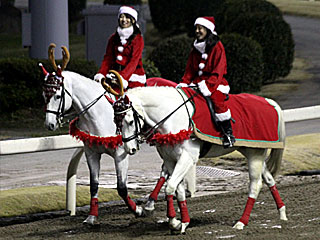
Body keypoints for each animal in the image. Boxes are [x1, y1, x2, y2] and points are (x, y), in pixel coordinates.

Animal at [104, 75, 288, 234]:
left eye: (129, 121)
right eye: (115, 122)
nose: (130, 148)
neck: (173, 116)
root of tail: (269, 102)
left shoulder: (187, 158)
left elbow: (170, 186)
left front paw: (175, 221)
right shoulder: (170, 160)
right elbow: (177, 190)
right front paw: (181, 222)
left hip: (254, 156)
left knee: (255, 185)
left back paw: (241, 222)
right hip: (252, 151)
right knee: (269, 179)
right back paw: (282, 213)